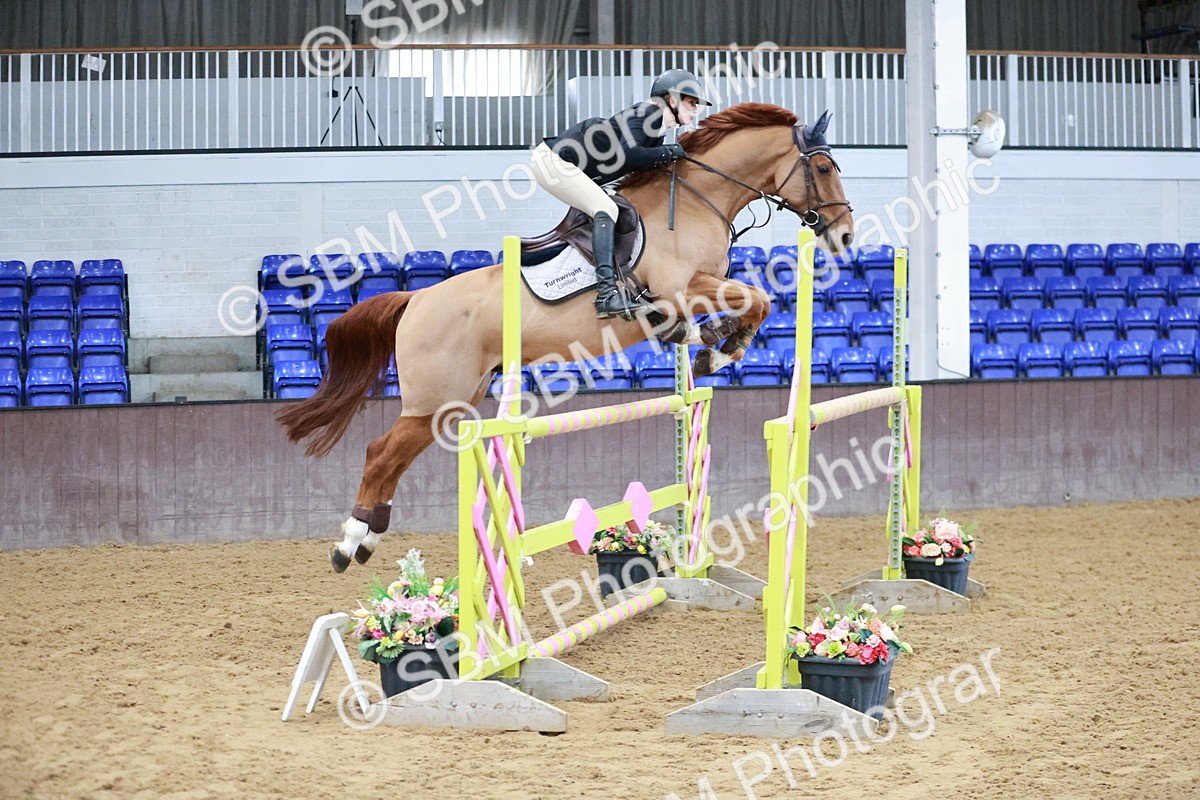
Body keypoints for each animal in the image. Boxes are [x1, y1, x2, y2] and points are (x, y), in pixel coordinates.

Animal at [276, 102, 856, 572]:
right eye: (824, 168)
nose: (846, 235)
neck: (697, 201)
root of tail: (414, 301)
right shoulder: (682, 288)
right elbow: (756, 299)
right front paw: (720, 349)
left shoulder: (698, 290)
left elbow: (750, 302)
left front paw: (713, 344)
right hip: (435, 398)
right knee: (379, 453)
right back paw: (347, 544)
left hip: (452, 402)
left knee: (393, 456)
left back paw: (369, 539)